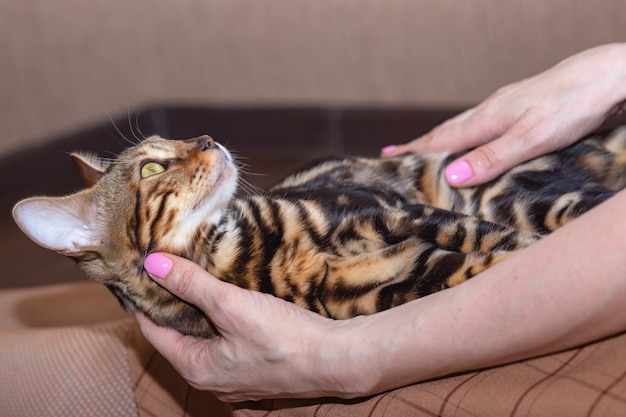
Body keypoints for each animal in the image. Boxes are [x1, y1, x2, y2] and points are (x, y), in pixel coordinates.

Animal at [11, 125, 624, 336]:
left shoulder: (395, 212)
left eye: (181, 137)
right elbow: (499, 257)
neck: (247, 251)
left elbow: (500, 241)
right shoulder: (404, 276)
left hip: (500, 194)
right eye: (152, 168)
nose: (208, 138)